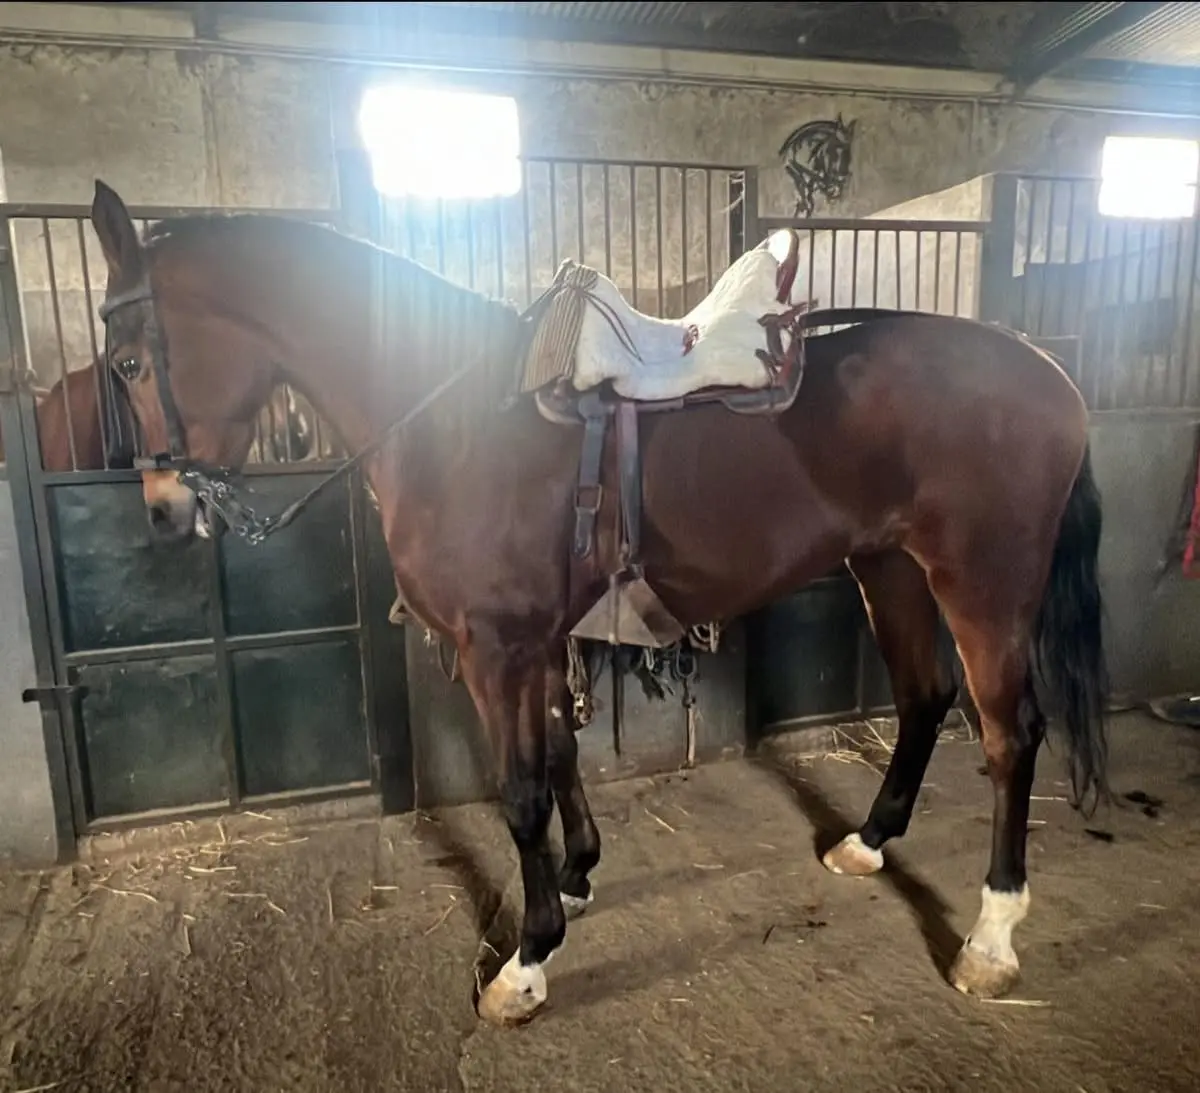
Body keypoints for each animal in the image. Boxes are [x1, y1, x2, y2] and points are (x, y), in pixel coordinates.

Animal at [86, 178, 1107, 1027]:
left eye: (129, 364)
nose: (165, 512)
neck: (457, 422)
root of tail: (1048, 369)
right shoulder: (538, 641)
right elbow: (561, 755)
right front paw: (575, 876)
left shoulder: (495, 649)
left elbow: (520, 790)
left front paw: (526, 960)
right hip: (888, 569)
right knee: (924, 698)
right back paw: (868, 842)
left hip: (982, 586)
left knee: (1010, 734)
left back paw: (990, 940)